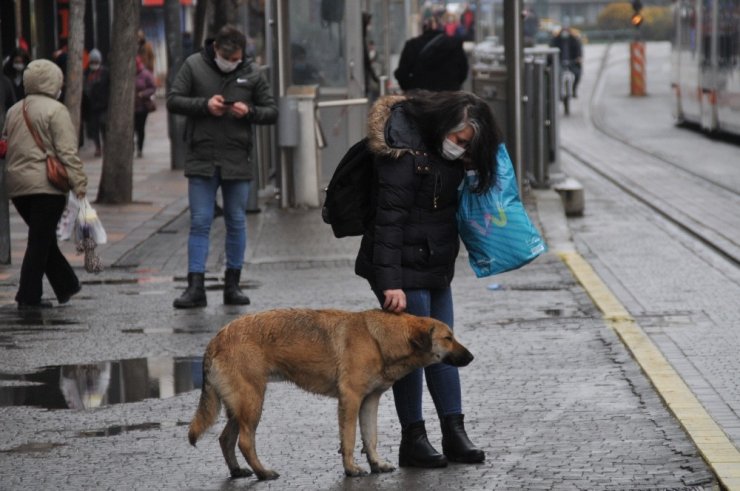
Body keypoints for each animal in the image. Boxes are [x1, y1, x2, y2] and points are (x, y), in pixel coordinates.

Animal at [186, 308, 474, 480]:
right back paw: (264, 472)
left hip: (240, 406)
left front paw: (376, 464)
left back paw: (237, 471)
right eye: (448, 338)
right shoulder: (351, 399)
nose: (471, 357)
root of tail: (216, 338)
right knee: (245, 442)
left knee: (225, 438)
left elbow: (370, 437)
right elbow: (350, 439)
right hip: (252, 402)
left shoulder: (369, 402)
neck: (378, 340)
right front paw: (351, 469)